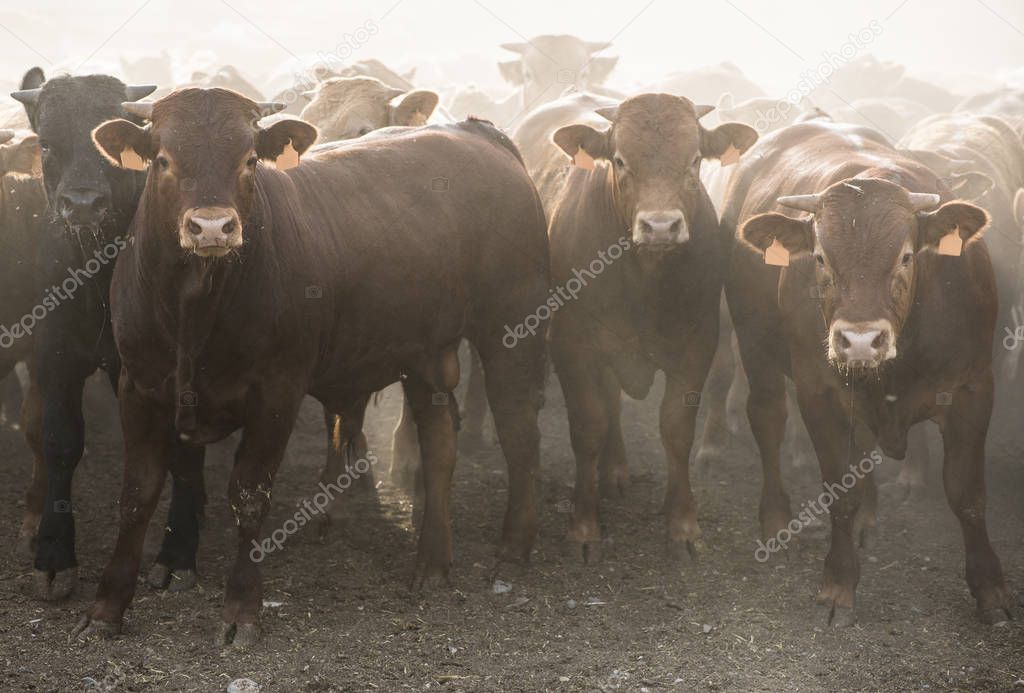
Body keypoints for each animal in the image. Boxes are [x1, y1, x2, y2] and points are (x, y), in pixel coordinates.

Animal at [10, 69, 208, 600]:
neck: (97, 281)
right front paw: (53, 556)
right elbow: (59, 441)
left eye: (112, 144)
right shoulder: (54, 357)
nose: (83, 204)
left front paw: (176, 554)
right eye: (47, 142)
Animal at [75, 87, 549, 645]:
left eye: (249, 160)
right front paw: (106, 607)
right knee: (438, 445)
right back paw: (432, 565)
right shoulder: (139, 385)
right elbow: (138, 493)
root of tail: (478, 133)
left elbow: (250, 495)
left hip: (511, 328)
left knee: (519, 433)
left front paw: (242, 609)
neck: (194, 305)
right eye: (164, 159)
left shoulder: (277, 391)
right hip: (425, 354)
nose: (212, 226)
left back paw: (512, 553)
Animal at [544, 93, 757, 560]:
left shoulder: (697, 344)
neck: (643, 277)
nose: (660, 226)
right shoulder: (571, 345)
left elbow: (676, 429)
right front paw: (583, 525)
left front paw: (682, 524)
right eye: (620, 160)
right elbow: (587, 425)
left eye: (694, 159)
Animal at [724, 119, 1012, 626]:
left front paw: (990, 589)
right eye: (820, 257)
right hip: (754, 344)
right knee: (768, 420)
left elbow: (967, 495)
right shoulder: (818, 394)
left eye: (906, 256)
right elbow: (840, 490)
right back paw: (776, 522)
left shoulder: (974, 389)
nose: (859, 341)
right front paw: (838, 584)